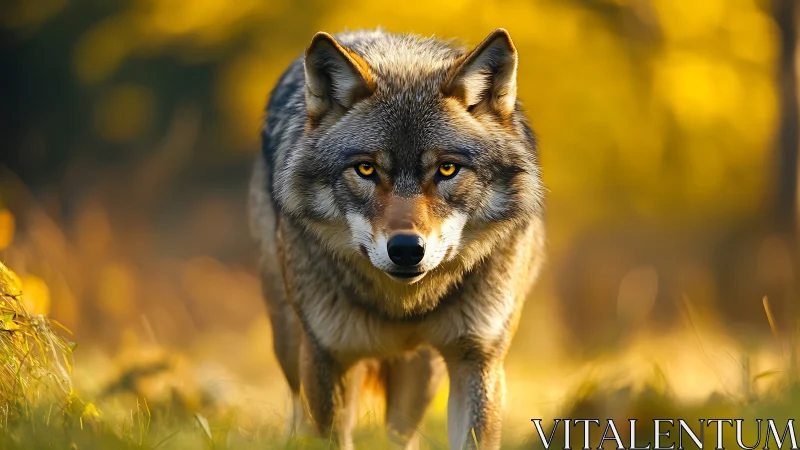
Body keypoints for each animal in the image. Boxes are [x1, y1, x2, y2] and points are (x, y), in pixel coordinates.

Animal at [249, 28, 545, 449]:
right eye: (366, 169)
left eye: (447, 169)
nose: (406, 250)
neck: (403, 307)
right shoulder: (327, 357)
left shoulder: (479, 359)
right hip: (291, 341)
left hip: (422, 374)